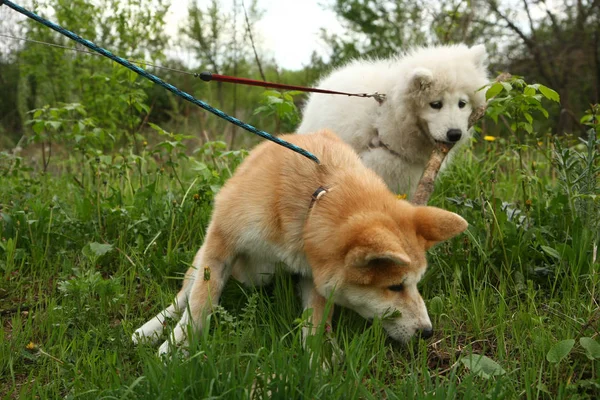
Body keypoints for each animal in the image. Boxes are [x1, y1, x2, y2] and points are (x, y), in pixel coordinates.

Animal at [132, 130, 468, 354]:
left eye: (415, 284)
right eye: (395, 286)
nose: (427, 332)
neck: (316, 198)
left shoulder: (313, 276)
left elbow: (315, 325)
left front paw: (319, 365)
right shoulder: (221, 243)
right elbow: (200, 304)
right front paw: (178, 348)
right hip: (203, 255)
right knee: (184, 296)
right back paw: (152, 329)